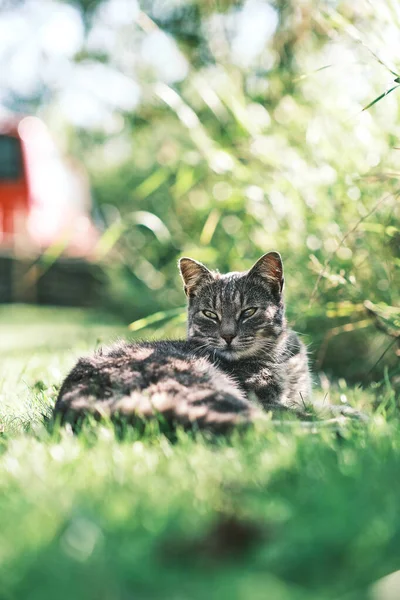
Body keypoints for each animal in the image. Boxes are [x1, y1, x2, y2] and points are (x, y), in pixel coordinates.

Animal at [52, 252, 312, 432]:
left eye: (248, 312)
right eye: (210, 314)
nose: (228, 335)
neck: (279, 356)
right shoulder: (263, 400)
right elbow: (298, 410)